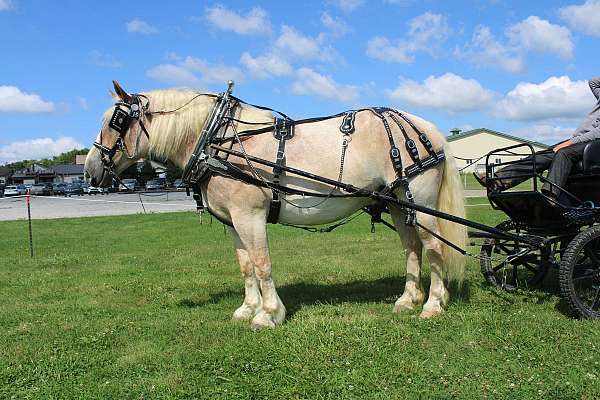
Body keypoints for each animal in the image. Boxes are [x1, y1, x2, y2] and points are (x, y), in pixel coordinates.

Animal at [85, 80, 468, 328]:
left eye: (115, 121)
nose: (90, 170)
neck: (218, 141)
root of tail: (424, 127)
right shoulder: (233, 222)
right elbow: (245, 267)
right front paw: (247, 309)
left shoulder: (250, 216)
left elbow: (262, 264)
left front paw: (268, 314)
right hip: (398, 204)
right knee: (412, 248)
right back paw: (408, 300)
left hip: (420, 202)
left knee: (434, 249)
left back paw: (433, 305)